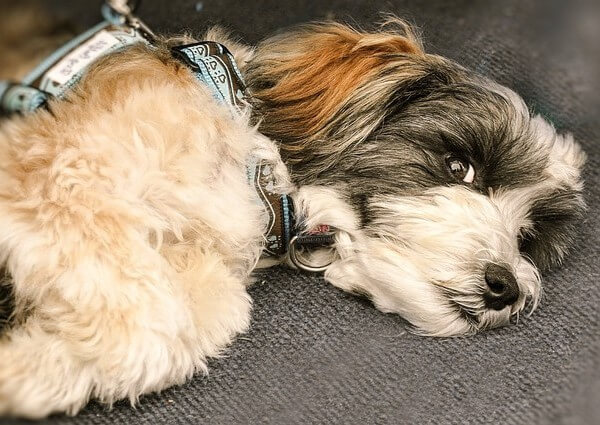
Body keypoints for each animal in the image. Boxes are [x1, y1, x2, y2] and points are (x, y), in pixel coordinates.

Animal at [0, 3, 584, 420]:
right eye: (460, 166)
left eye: (527, 237)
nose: (507, 286)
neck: (259, 176)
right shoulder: (59, 173)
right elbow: (147, 324)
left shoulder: (201, 281)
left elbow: (159, 339)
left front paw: (22, 368)